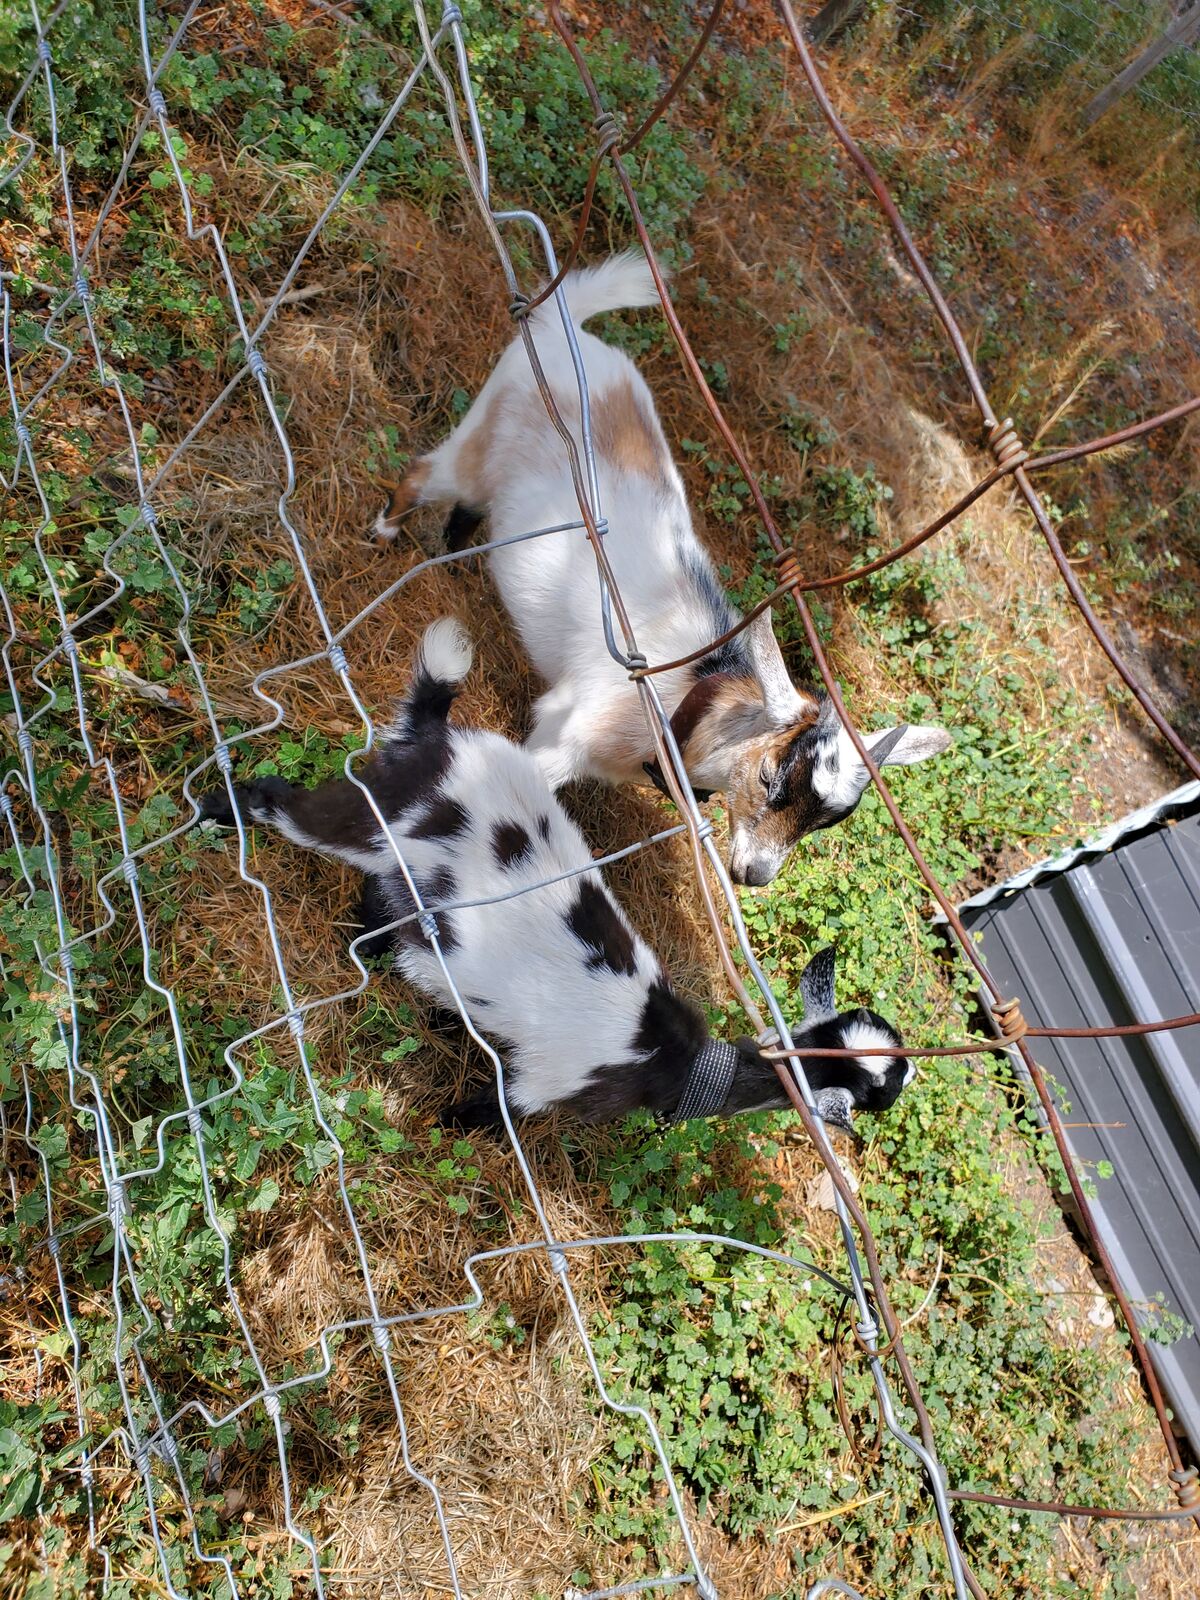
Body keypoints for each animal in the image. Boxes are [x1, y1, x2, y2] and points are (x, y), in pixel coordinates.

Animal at [198, 620, 913, 1131]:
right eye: (882, 1090)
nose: (899, 1089)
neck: (671, 1064)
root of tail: (438, 735)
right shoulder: (542, 1082)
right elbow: (481, 1117)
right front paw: (443, 1120)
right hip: (369, 810)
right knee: (284, 805)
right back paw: (215, 812)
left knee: (385, 896)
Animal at [373, 253, 951, 886]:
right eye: (771, 778)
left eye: (826, 821)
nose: (756, 875)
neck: (683, 694)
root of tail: (561, 324)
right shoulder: (566, 733)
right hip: (477, 439)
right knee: (425, 474)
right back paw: (385, 534)